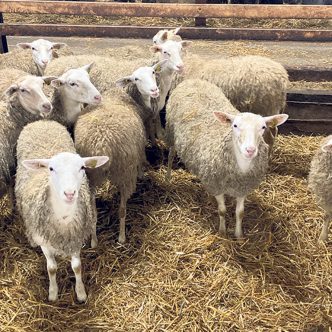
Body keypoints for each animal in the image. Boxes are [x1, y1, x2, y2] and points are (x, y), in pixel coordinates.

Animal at [15, 120, 107, 302]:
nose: (70, 193)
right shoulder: (44, 239)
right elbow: (51, 268)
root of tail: (42, 121)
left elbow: (77, 266)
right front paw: (53, 293)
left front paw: (80, 293)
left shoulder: (75, 236)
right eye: (51, 169)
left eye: (82, 167)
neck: (64, 217)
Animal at [75, 91, 148, 244]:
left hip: (91, 176)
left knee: (93, 212)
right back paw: (121, 237)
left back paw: (94, 241)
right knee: (122, 210)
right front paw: (142, 174)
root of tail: (103, 144)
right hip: (125, 173)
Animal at [166, 79, 288, 237]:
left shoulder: (243, 188)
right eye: (235, 125)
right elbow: (222, 211)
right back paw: (168, 177)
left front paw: (238, 235)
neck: (241, 168)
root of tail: (192, 80)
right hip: (170, 133)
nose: (250, 150)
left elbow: (240, 213)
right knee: (170, 155)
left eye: (263, 127)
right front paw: (222, 231)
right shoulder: (216, 186)